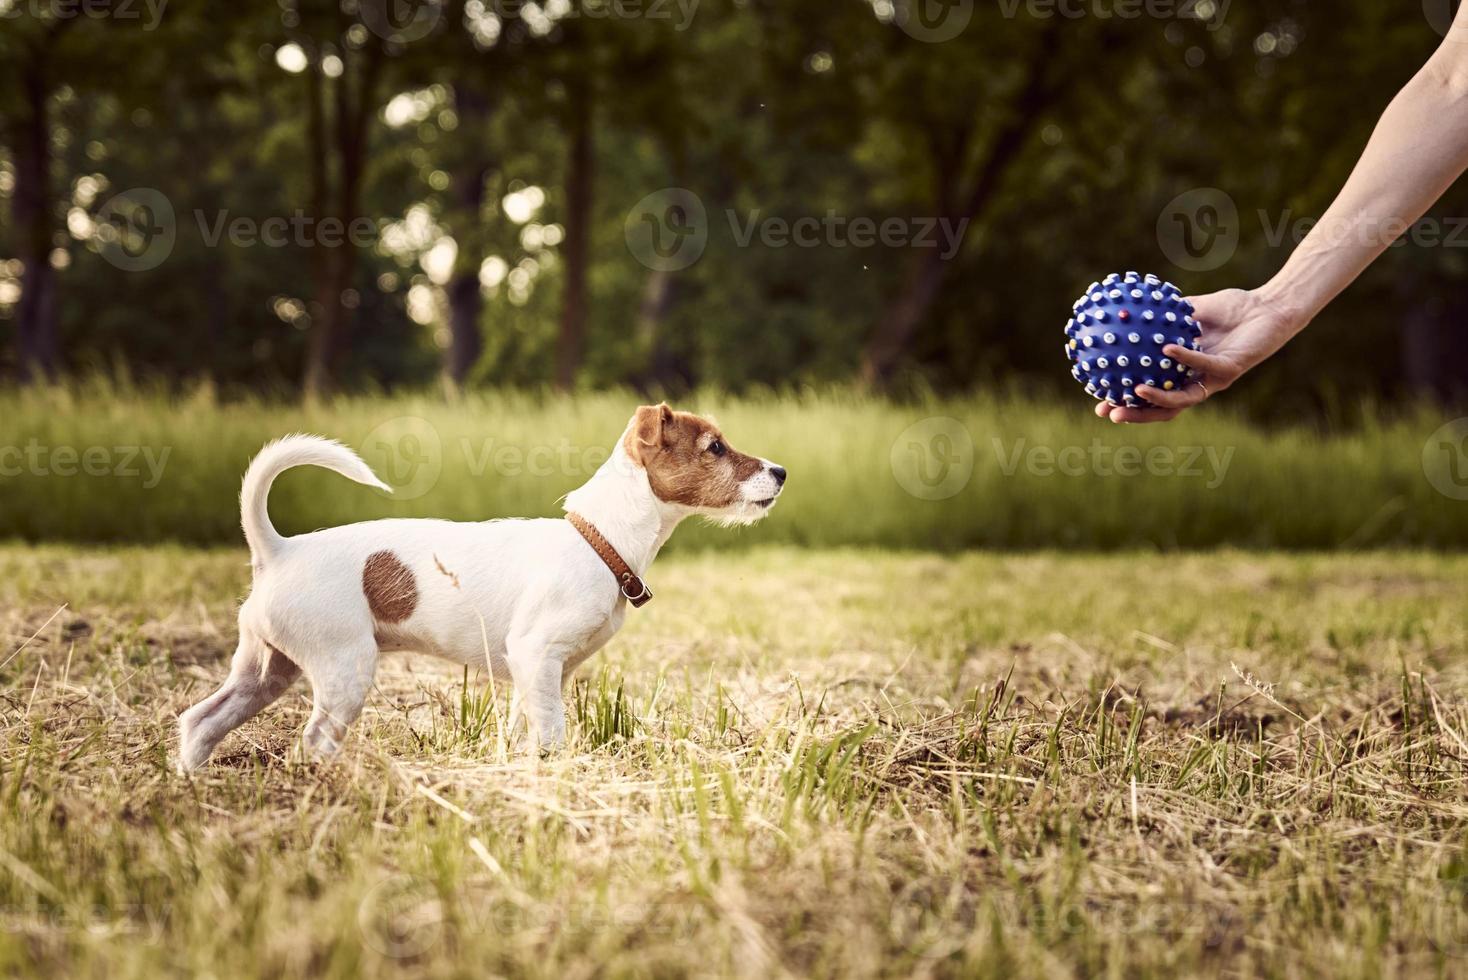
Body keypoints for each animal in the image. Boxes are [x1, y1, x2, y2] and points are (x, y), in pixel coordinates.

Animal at [177, 401, 786, 768]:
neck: (599, 540)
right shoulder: (536, 653)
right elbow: (553, 733)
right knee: (313, 739)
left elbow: (526, 727)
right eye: (715, 448)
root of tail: (278, 550)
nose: (780, 472)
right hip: (342, 668)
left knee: (201, 721)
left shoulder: (537, 672)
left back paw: (193, 781)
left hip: (264, 669)